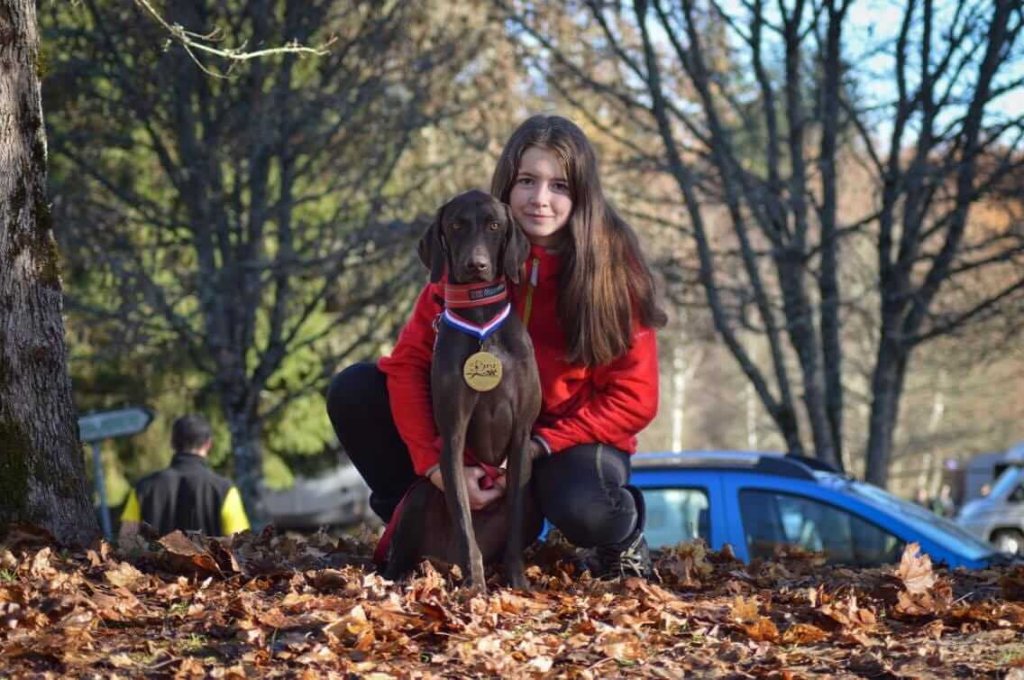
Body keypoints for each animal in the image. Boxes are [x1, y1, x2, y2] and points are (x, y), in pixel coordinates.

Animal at [380, 189, 544, 589]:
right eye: (456, 225)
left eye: (495, 225)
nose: (477, 265)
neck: (481, 319)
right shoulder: (453, 436)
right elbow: (465, 521)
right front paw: (476, 584)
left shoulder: (521, 439)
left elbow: (514, 519)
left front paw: (518, 582)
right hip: (419, 499)